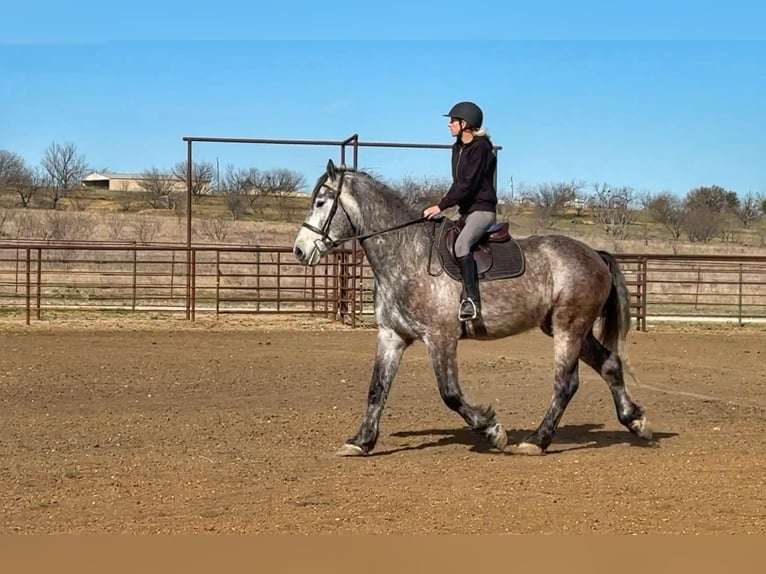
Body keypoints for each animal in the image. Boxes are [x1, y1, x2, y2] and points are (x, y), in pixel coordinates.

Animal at [292, 159, 652, 456]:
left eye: (321, 202)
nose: (299, 250)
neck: (406, 253)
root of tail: (595, 254)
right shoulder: (391, 335)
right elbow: (376, 389)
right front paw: (361, 441)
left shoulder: (440, 337)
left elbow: (450, 393)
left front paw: (492, 430)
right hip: (569, 328)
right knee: (609, 365)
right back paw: (635, 421)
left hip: (569, 328)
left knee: (566, 383)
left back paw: (536, 440)